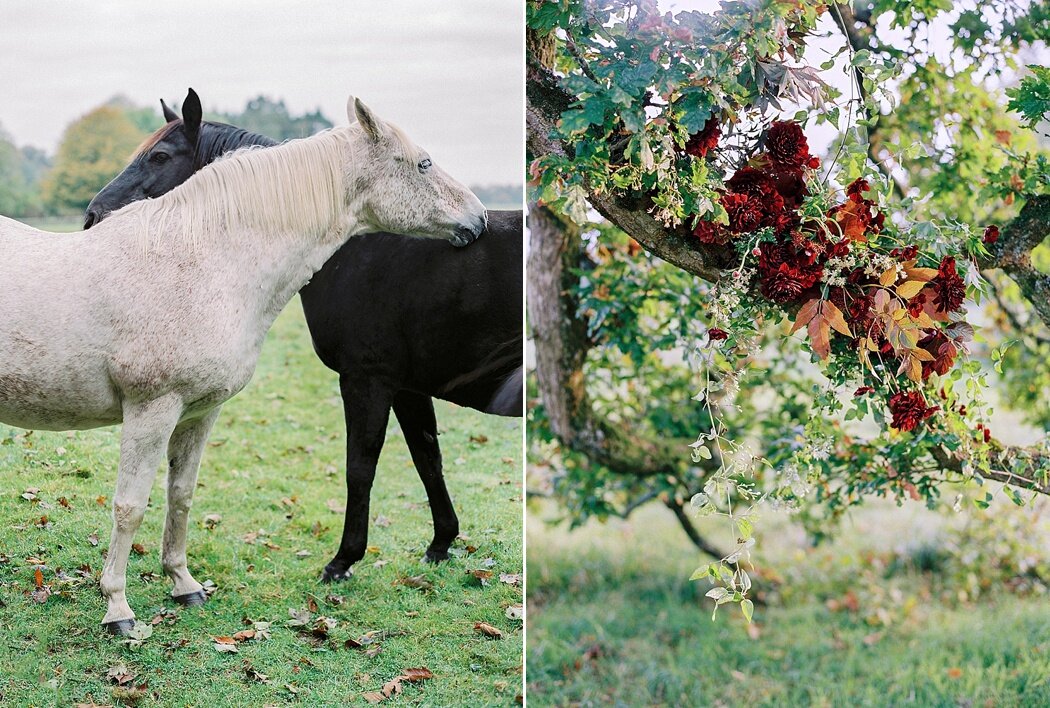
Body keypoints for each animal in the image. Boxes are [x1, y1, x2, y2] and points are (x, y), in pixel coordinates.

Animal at [0, 96, 482, 630]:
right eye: (423, 164)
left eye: (159, 156)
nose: (479, 219)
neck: (202, 261)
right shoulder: (151, 410)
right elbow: (129, 507)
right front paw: (118, 608)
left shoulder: (198, 411)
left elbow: (181, 495)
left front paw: (183, 584)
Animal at [88, 89, 522, 579]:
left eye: (160, 155)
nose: (93, 215)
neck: (359, 249)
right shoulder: (408, 387)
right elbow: (427, 458)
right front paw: (442, 542)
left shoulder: (368, 380)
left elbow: (360, 467)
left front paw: (344, 559)